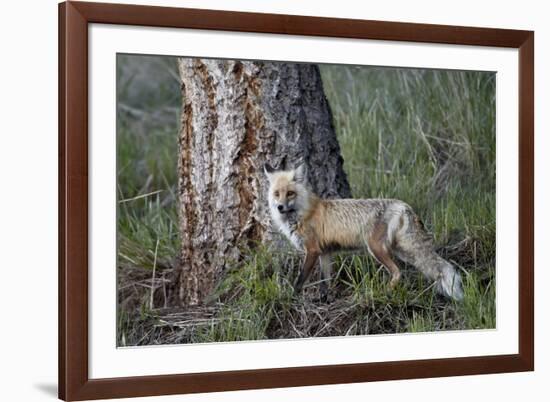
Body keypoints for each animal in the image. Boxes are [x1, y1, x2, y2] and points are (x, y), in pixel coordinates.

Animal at [266, 163, 464, 302]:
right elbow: (324, 281)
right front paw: (323, 300)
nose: (280, 207)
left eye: (290, 193)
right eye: (276, 194)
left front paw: (291, 297)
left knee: (398, 272)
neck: (304, 212)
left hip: (376, 248)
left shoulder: (312, 250)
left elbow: (300, 279)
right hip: (403, 251)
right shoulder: (325, 253)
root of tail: (403, 206)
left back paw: (383, 293)